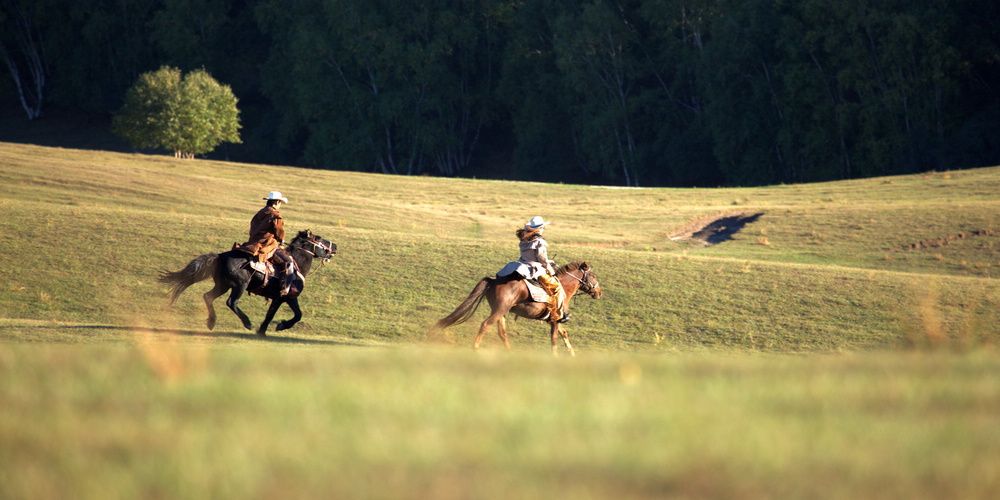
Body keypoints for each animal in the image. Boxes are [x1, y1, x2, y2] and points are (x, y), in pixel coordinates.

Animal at [157, 230, 336, 336]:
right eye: (319, 239)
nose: (334, 246)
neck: (297, 264)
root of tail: (220, 256)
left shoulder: (289, 298)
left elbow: (296, 314)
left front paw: (274, 327)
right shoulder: (283, 297)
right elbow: (276, 314)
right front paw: (268, 329)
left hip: (223, 285)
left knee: (208, 297)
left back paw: (211, 322)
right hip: (239, 286)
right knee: (231, 302)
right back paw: (247, 322)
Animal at [430, 262, 600, 356]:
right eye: (593, 275)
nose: (599, 293)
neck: (563, 287)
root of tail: (493, 281)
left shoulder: (553, 319)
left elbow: (563, 333)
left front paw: (571, 352)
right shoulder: (555, 320)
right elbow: (554, 339)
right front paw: (556, 355)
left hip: (502, 313)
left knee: (502, 333)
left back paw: (510, 352)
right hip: (499, 311)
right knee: (485, 325)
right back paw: (476, 347)